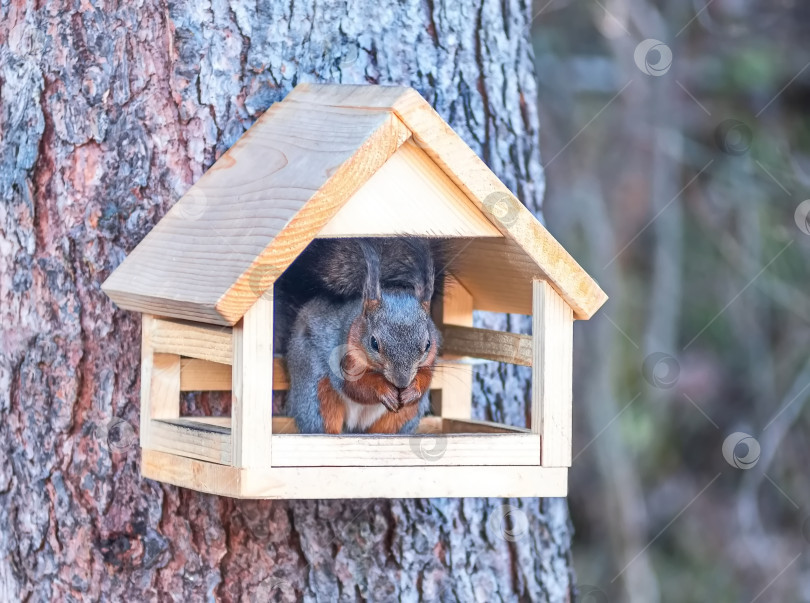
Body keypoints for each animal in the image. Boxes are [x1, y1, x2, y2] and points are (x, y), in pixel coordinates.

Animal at [284, 238, 443, 434]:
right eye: (374, 343)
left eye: (427, 344)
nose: (402, 382)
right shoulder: (345, 357)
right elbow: (356, 387)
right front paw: (382, 389)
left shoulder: (430, 359)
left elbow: (426, 377)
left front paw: (413, 390)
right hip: (315, 392)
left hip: (406, 414)